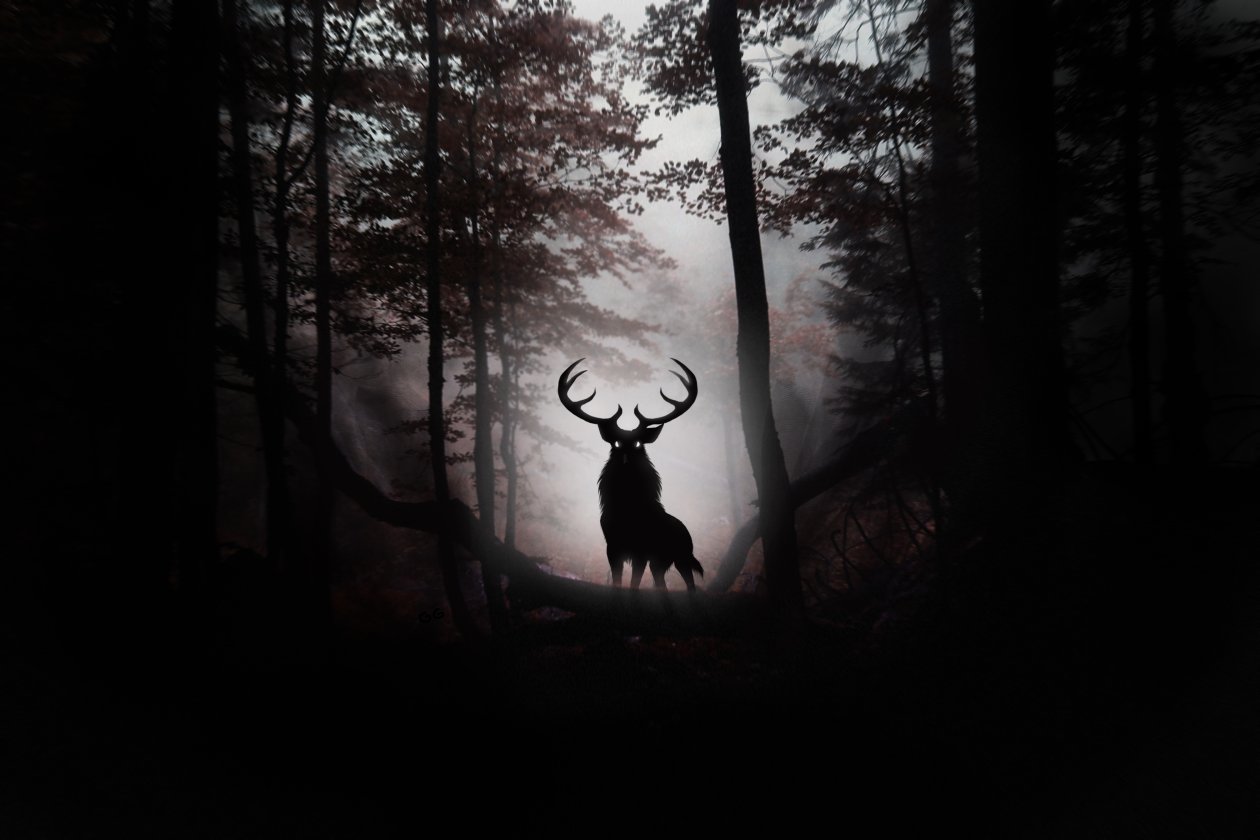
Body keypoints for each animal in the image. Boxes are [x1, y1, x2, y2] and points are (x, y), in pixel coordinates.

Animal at [558, 358, 704, 592]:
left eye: (637, 443)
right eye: (616, 443)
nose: (626, 458)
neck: (627, 509)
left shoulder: (641, 551)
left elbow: (634, 584)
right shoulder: (612, 547)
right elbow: (618, 582)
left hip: (681, 556)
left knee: (690, 583)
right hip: (661, 563)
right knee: (662, 583)